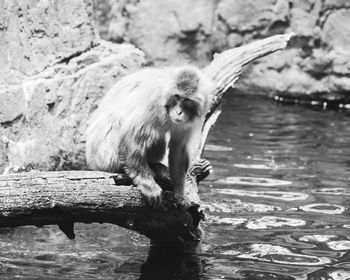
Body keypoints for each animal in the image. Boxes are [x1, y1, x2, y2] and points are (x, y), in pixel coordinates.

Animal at [86, 65, 215, 206]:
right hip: (104, 156)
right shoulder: (153, 102)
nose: (178, 112)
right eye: (176, 96)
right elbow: (132, 137)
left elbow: (178, 149)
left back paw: (156, 166)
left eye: (187, 100)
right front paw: (148, 185)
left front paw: (179, 192)